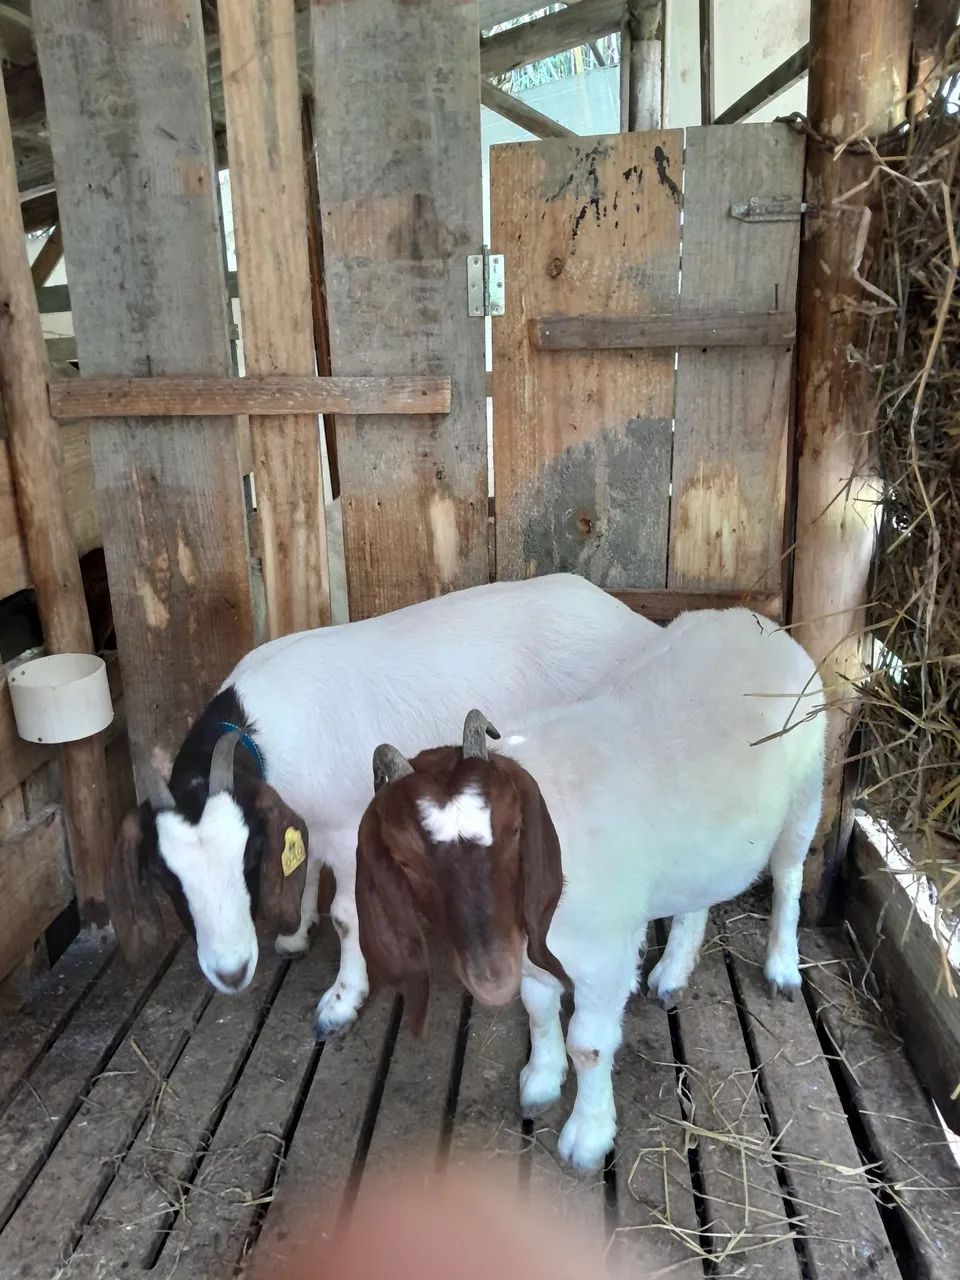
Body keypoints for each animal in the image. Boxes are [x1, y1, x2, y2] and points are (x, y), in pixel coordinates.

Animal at [107, 573, 658, 1036]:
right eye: (164, 877)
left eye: (246, 857)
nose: (231, 971)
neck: (256, 729)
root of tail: (636, 623)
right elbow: (301, 863)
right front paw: (296, 932)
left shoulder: (347, 827)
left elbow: (346, 915)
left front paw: (341, 1002)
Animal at [355, 609, 826, 1170]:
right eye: (405, 859)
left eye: (513, 828)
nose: (489, 975)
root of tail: (752, 619)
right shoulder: (532, 957)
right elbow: (537, 1012)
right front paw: (540, 1081)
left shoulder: (605, 958)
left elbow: (590, 1045)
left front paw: (588, 1136)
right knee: (698, 897)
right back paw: (672, 973)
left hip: (807, 794)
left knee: (790, 876)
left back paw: (782, 967)